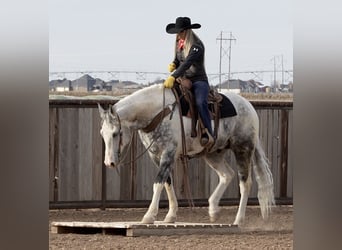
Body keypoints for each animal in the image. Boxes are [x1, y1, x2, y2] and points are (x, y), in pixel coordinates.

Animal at [97, 83, 274, 225]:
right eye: (102, 133)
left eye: (115, 133)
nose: (109, 163)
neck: (157, 111)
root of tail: (249, 106)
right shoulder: (156, 156)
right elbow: (168, 183)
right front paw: (170, 216)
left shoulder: (168, 153)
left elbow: (158, 183)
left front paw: (149, 216)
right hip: (213, 154)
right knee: (227, 175)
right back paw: (213, 210)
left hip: (243, 149)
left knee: (245, 183)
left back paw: (238, 219)